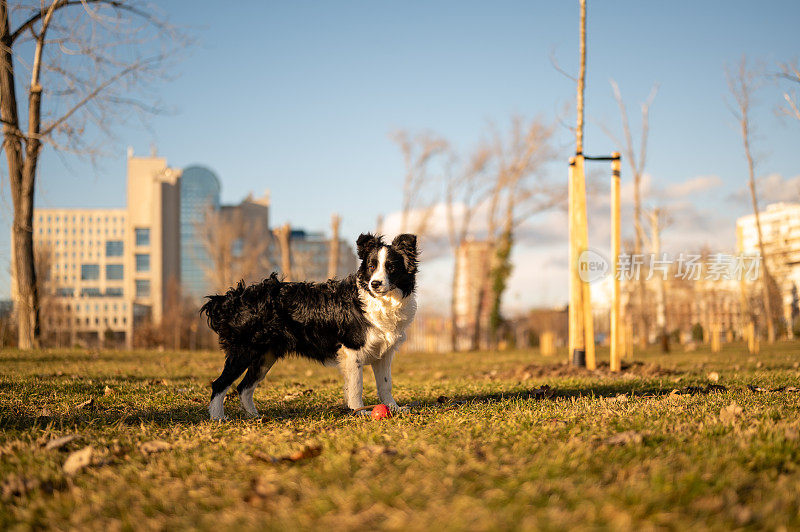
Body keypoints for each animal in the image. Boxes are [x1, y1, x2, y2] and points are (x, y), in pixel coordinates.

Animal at [200, 233, 418, 420]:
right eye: (372, 266)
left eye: (391, 267)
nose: (375, 284)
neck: (381, 301)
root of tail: (233, 298)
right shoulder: (352, 351)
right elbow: (357, 386)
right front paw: (359, 411)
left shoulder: (384, 354)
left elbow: (385, 385)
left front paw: (394, 408)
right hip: (244, 351)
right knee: (219, 384)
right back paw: (218, 417)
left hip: (265, 356)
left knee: (244, 387)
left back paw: (255, 416)